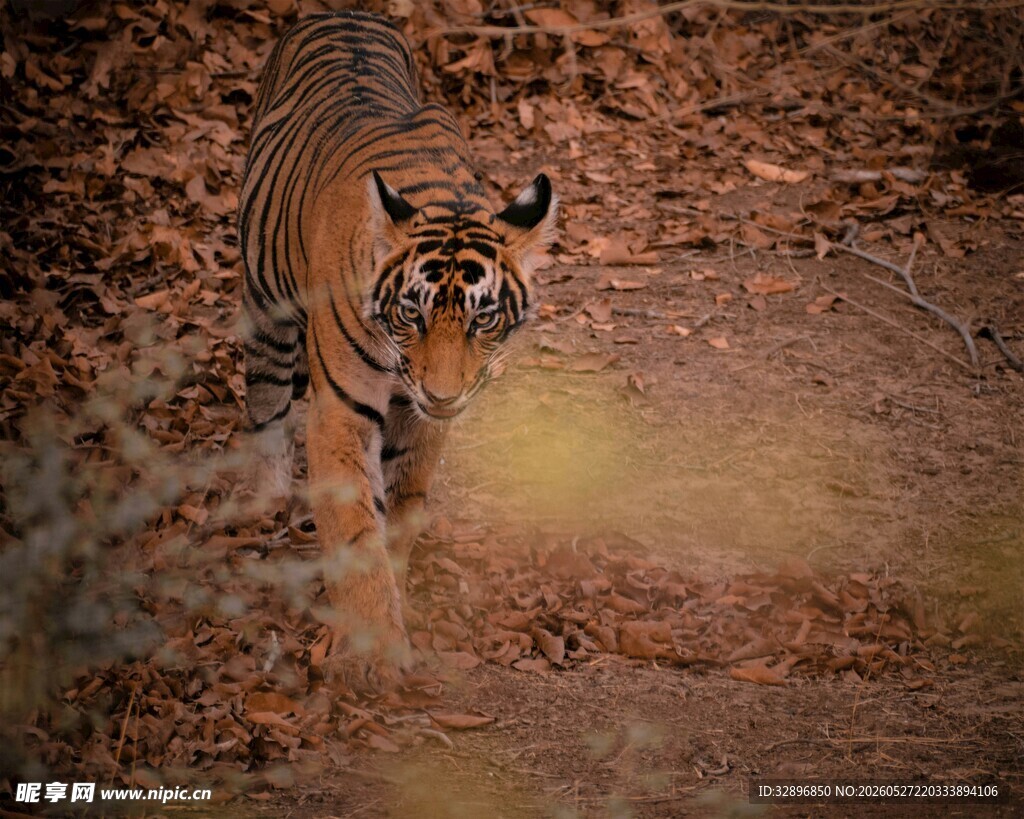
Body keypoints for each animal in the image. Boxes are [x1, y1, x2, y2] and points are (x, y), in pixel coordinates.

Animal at [237, 10, 557, 692]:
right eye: (412, 314)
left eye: (483, 319)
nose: (443, 394)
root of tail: (344, 12)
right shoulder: (341, 411)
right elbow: (358, 530)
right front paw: (373, 652)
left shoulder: (422, 421)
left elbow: (402, 510)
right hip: (265, 305)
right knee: (267, 405)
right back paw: (264, 499)